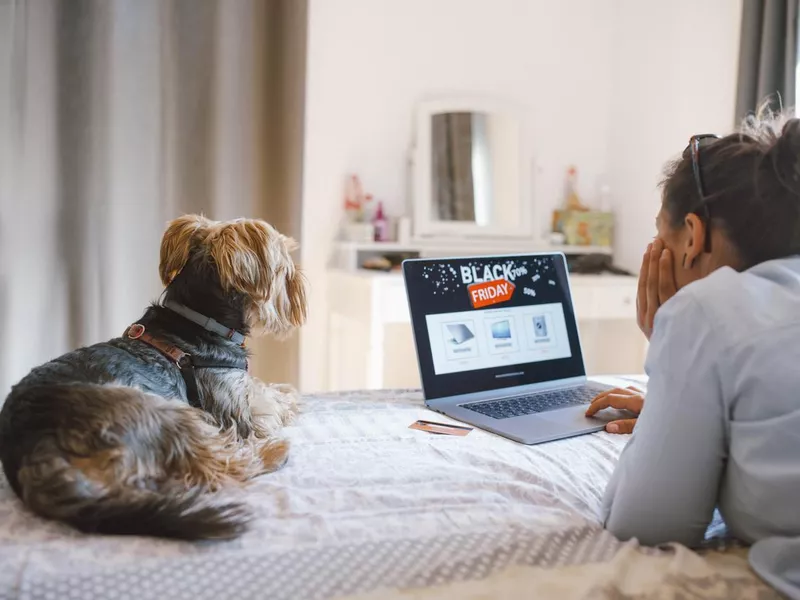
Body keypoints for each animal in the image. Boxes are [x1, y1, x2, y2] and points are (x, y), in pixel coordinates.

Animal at [0, 214, 306, 540]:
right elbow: (265, 406)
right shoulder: (234, 404)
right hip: (157, 411)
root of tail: (32, 447)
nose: (299, 281)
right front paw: (287, 400)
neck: (200, 320)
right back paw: (273, 452)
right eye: (284, 265)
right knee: (217, 466)